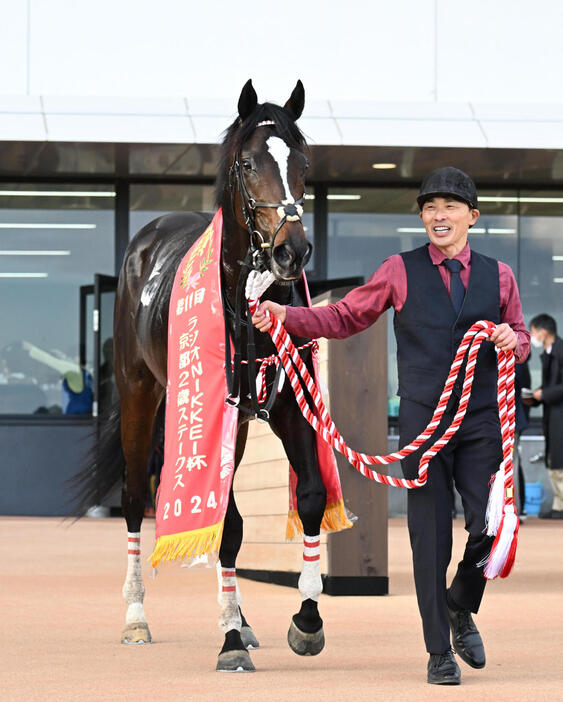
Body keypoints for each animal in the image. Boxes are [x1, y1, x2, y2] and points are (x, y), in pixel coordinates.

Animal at [73, 80, 332, 672]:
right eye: (248, 162)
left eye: (303, 163)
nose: (292, 250)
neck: (248, 302)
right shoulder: (214, 411)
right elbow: (229, 524)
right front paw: (229, 640)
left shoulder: (289, 406)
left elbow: (309, 497)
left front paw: (305, 620)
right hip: (141, 392)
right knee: (133, 498)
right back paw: (137, 618)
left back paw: (239, 615)